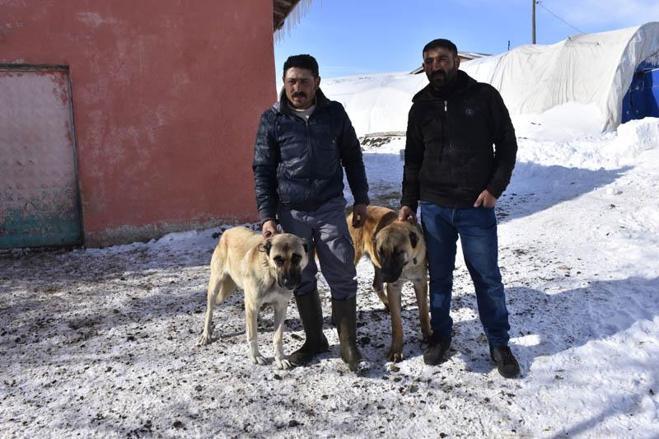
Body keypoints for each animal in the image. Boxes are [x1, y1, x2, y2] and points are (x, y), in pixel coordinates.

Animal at [196, 229, 310, 370]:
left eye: (297, 257)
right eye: (277, 259)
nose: (288, 282)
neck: (271, 275)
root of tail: (227, 232)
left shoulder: (281, 307)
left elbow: (278, 337)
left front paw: (280, 358)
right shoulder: (252, 304)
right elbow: (252, 335)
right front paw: (256, 356)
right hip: (215, 287)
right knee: (209, 312)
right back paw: (206, 334)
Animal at [346, 208, 434, 362]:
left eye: (397, 252)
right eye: (381, 252)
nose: (386, 276)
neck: (407, 265)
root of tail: (351, 214)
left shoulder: (420, 283)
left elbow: (423, 313)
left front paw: (428, 336)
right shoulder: (394, 287)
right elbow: (396, 324)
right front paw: (396, 350)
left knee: (376, 284)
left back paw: (386, 303)